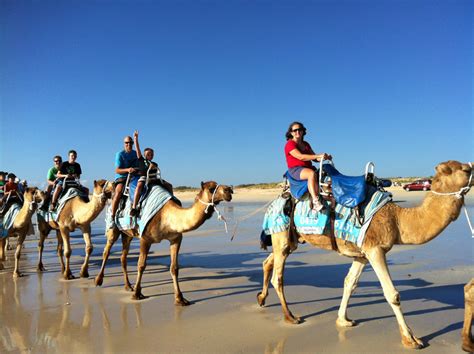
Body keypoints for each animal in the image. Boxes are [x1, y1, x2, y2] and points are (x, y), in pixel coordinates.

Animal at [93, 181, 232, 302]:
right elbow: (141, 265)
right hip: (114, 229)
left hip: (127, 234)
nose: (229, 190)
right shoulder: (145, 238)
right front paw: (137, 294)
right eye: (212, 189)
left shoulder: (176, 239)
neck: (166, 216)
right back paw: (98, 280)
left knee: (123, 257)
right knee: (106, 251)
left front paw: (180, 298)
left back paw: (128, 286)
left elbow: (174, 268)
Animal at [258, 160, 472, 348]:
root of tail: (277, 198)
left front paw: (343, 320)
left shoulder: (362, 254)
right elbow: (392, 294)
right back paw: (290, 317)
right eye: (466, 170)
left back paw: (261, 299)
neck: (397, 219)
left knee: (269, 261)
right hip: (281, 232)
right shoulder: (375, 249)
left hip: (291, 239)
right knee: (278, 277)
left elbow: (349, 283)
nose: (473, 167)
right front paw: (410, 339)